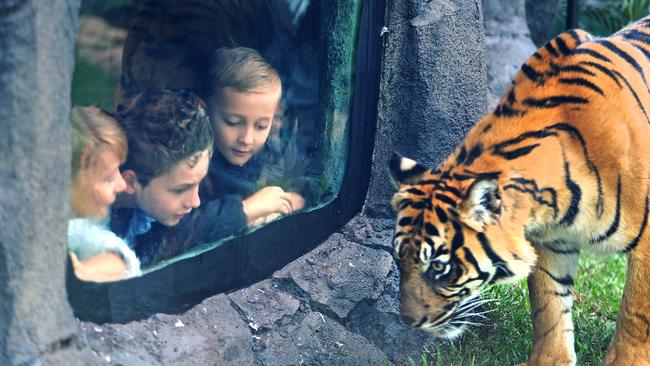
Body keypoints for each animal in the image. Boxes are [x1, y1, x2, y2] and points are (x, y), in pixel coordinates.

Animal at [388, 15, 650, 364]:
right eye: (398, 259)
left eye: (440, 268)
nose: (408, 320)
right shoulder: (551, 241)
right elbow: (549, 304)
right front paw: (550, 360)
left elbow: (636, 315)